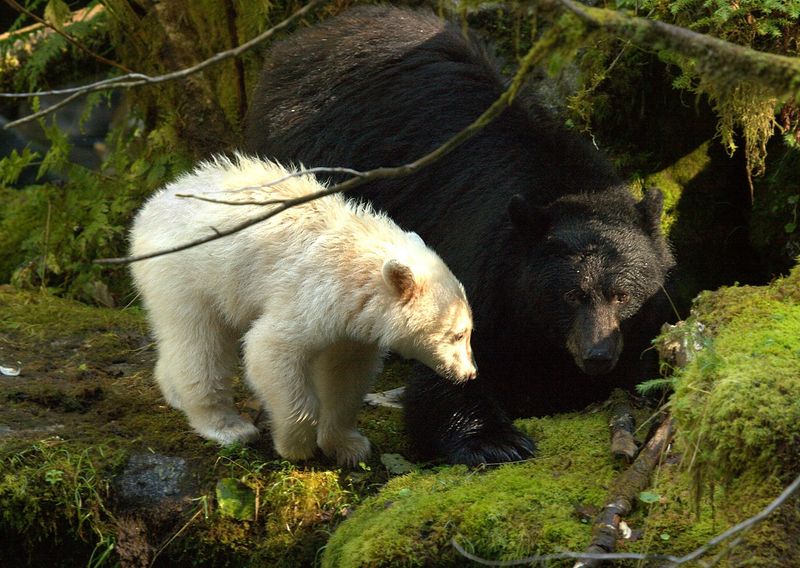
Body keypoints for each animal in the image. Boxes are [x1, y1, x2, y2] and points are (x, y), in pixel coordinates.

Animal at [126, 155, 476, 466]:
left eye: (470, 331)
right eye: (457, 334)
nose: (469, 373)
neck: (357, 268)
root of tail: (149, 209)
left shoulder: (353, 325)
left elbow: (345, 376)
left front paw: (349, 446)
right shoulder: (311, 293)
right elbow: (271, 350)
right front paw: (296, 445)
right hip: (188, 274)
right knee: (201, 343)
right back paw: (228, 426)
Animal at [244, 5, 676, 466]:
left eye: (622, 295)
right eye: (571, 295)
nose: (597, 356)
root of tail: (302, 41)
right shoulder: (482, 262)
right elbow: (455, 358)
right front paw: (495, 439)